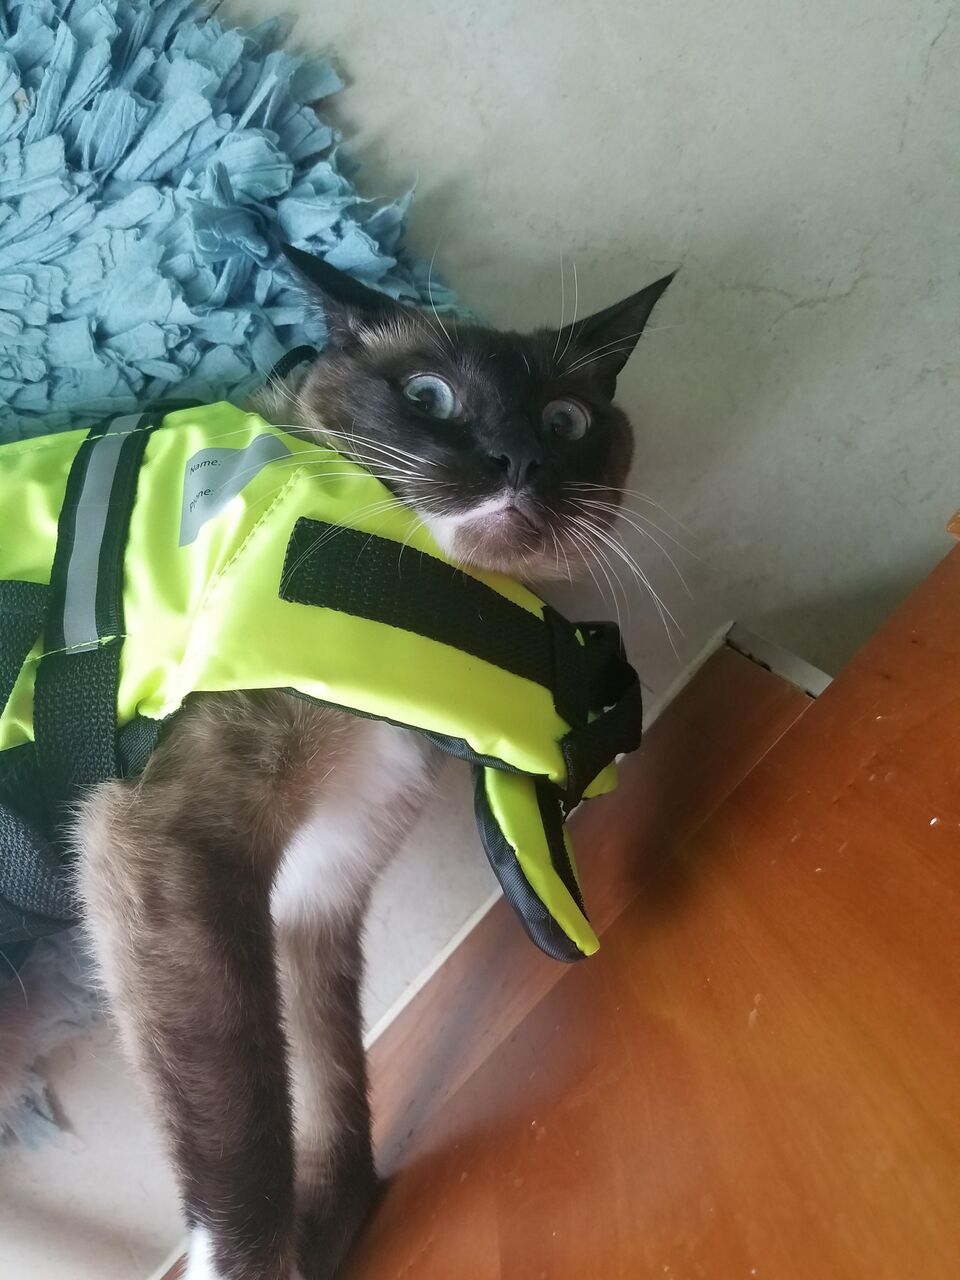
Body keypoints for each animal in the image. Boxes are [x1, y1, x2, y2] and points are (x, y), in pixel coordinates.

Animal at [75, 250, 674, 1280]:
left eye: (565, 421)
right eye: (429, 396)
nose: (517, 463)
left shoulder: (319, 884)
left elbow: (332, 1078)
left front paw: (336, 1226)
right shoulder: (166, 848)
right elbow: (245, 1151)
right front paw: (270, 1260)